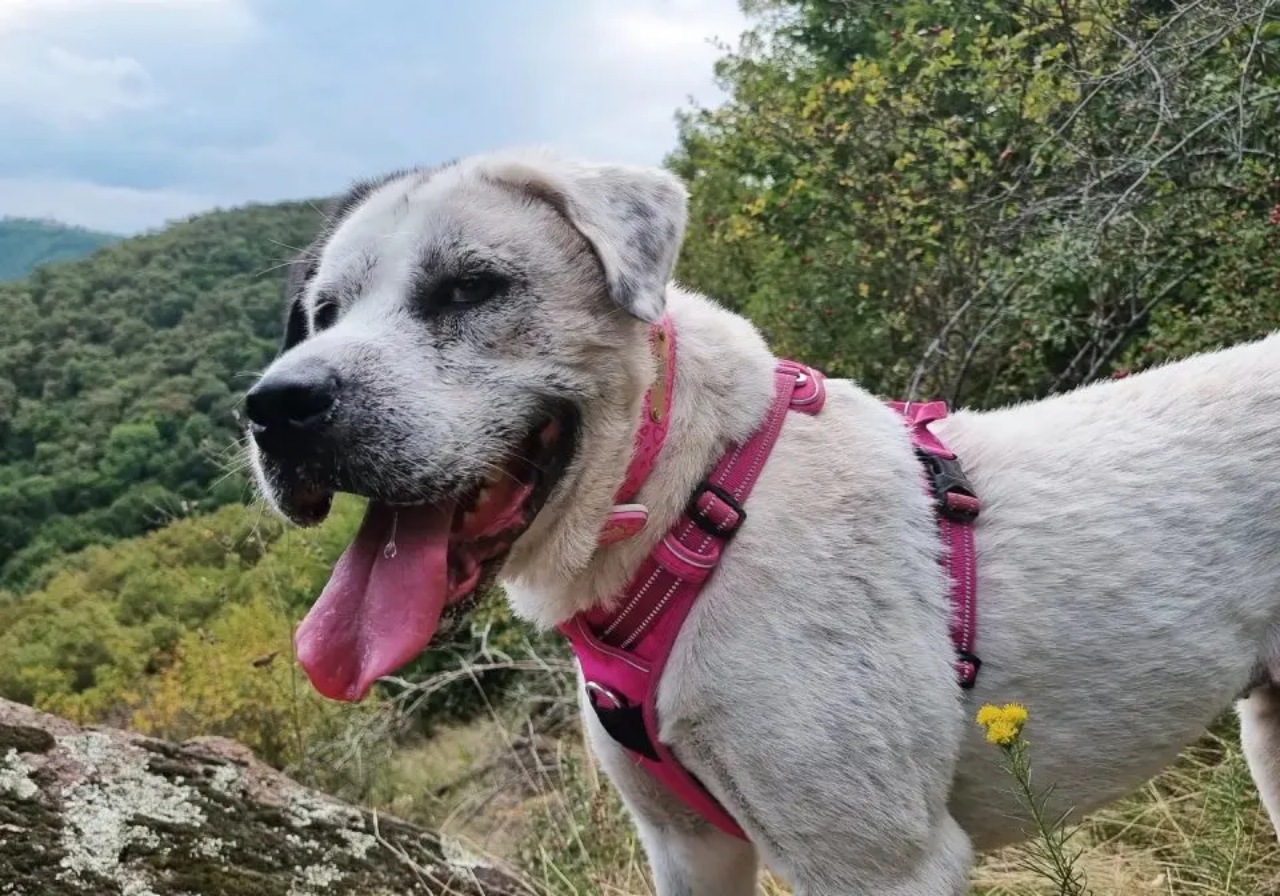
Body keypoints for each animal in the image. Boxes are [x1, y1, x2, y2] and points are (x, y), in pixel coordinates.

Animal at [244, 148, 1280, 896]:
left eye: (470, 287)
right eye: (323, 312)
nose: (274, 408)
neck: (695, 508)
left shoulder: (880, 866)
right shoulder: (689, 851)